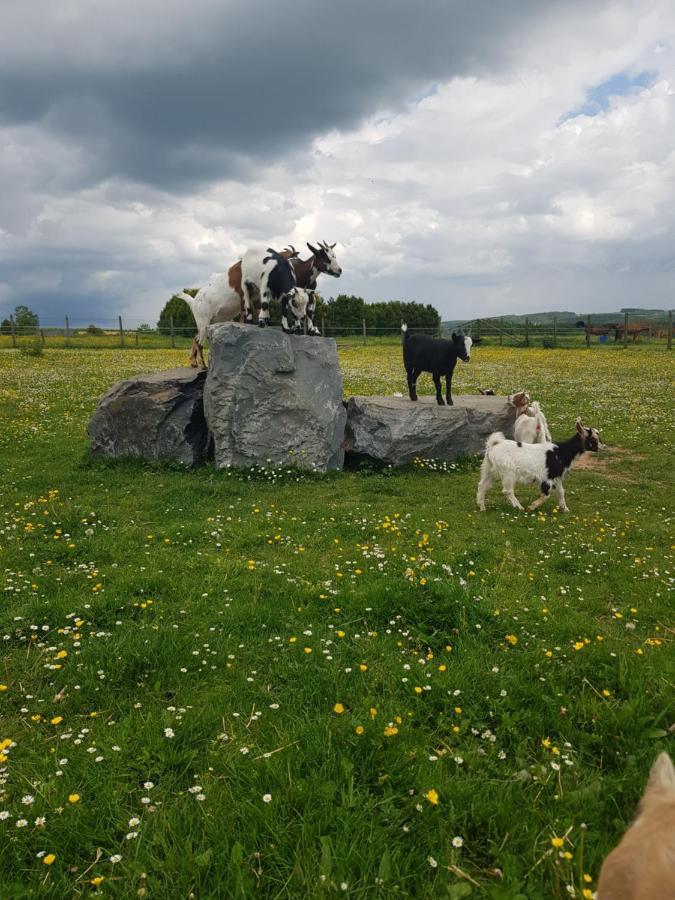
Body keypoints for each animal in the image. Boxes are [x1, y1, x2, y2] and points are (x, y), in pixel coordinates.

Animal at [476, 416, 608, 512]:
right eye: (594, 439)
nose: (603, 447)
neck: (561, 452)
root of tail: (493, 445)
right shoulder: (547, 478)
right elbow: (546, 495)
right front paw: (532, 507)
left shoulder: (557, 477)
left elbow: (561, 492)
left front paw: (565, 509)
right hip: (508, 471)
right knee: (507, 491)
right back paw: (519, 507)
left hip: (488, 469)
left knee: (482, 485)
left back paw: (482, 507)